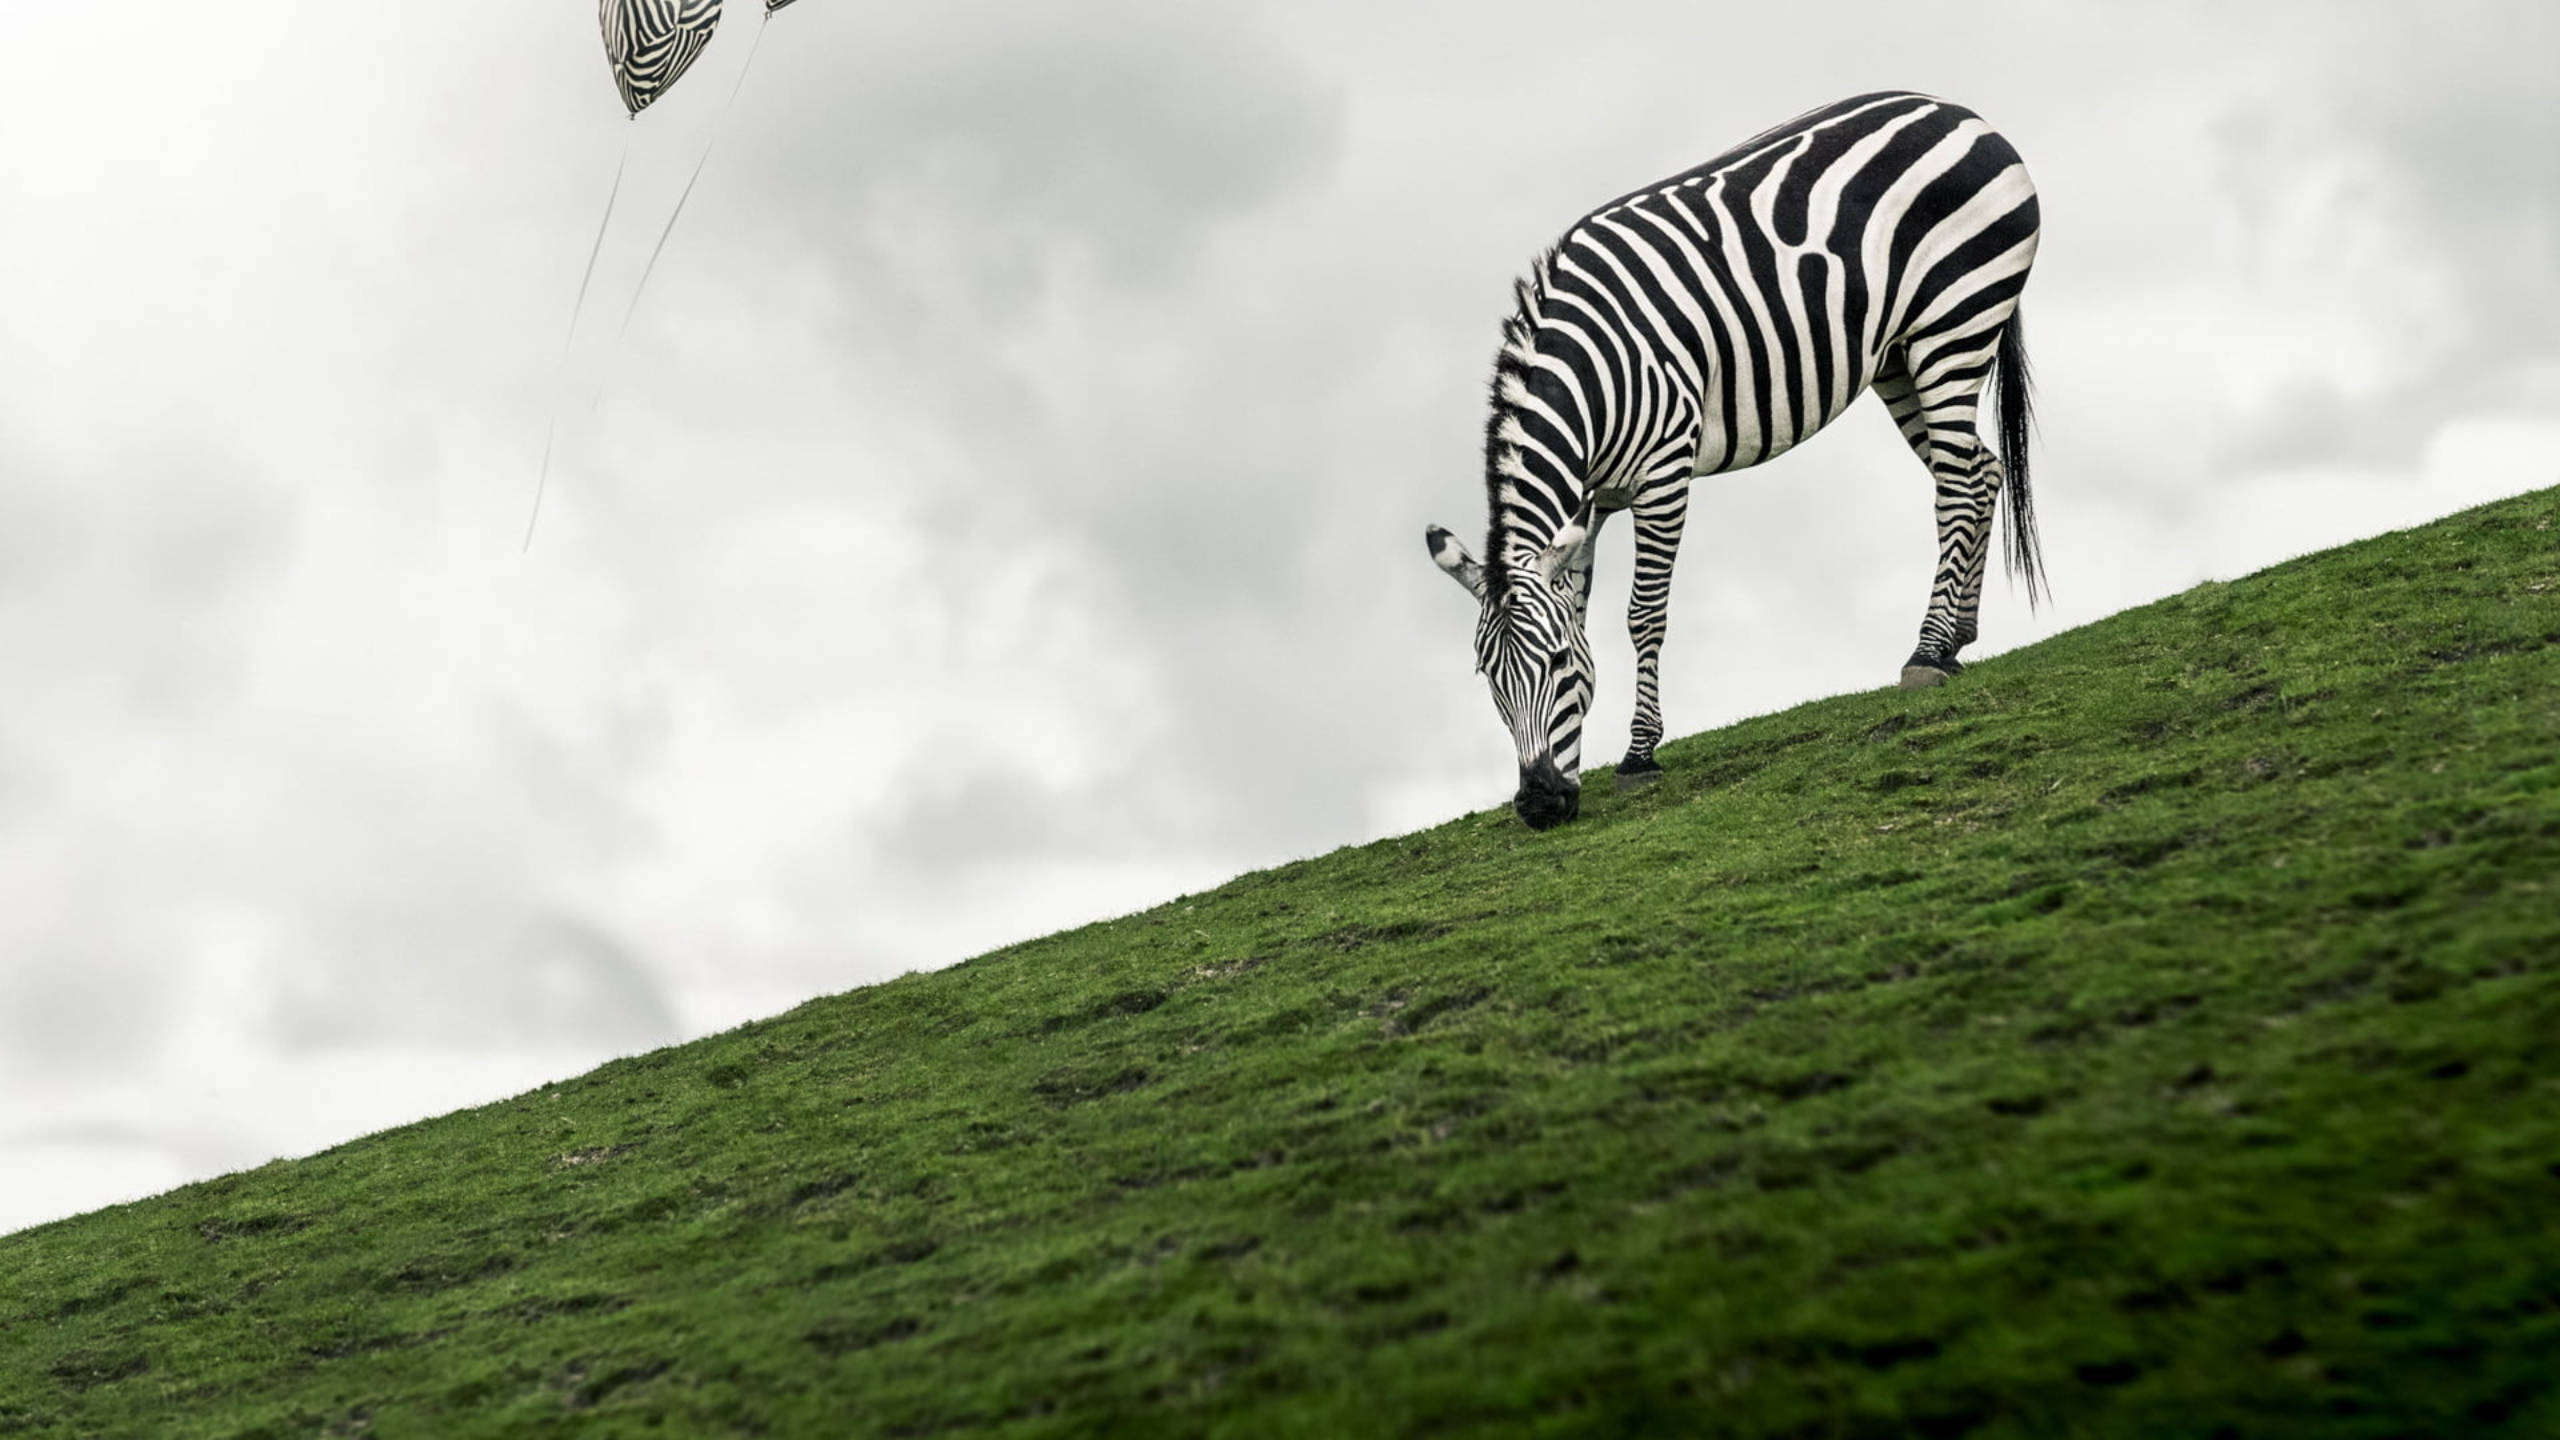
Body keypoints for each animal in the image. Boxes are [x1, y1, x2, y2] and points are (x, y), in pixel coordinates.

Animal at [1424, 91, 2044, 830]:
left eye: (1553, 663)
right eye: (1488, 677)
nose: (1541, 803)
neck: (1592, 374)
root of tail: (1958, 110)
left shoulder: (1662, 472)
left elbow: (1643, 614)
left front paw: (1639, 756)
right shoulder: (1590, 501)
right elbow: (1580, 609)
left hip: (1954, 323)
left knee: (1955, 484)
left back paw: (1925, 652)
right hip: (1897, 357)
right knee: (1979, 471)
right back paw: (1955, 640)